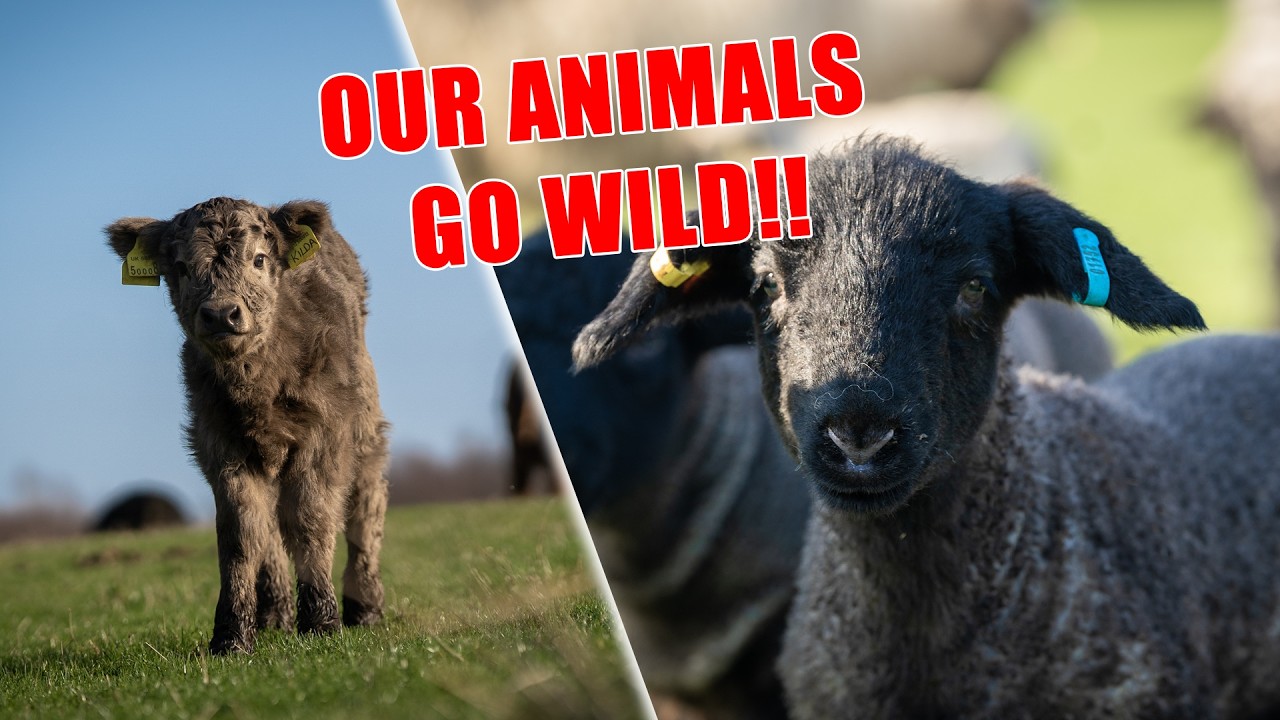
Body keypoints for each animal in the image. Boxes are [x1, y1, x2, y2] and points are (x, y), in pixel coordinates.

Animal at [106, 197, 389, 655]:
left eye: (258, 259)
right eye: (182, 267)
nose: (221, 313)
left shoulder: (323, 435)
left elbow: (311, 520)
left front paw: (322, 620)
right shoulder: (220, 445)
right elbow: (240, 536)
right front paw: (232, 635)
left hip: (365, 428)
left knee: (365, 506)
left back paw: (364, 608)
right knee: (268, 528)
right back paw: (275, 615)